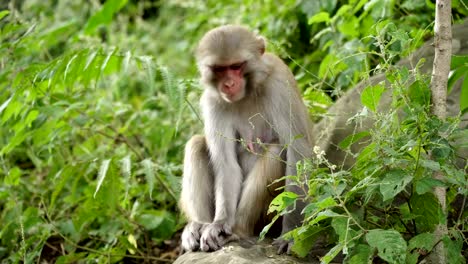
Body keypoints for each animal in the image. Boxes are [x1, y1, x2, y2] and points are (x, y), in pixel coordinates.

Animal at [179, 25, 314, 254]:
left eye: (236, 66)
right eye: (219, 69)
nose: (228, 84)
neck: (249, 91)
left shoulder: (280, 83)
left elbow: (298, 152)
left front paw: (291, 234)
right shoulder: (212, 101)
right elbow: (227, 165)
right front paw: (219, 224)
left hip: (269, 219)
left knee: (277, 150)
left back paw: (238, 230)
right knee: (196, 144)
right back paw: (200, 225)